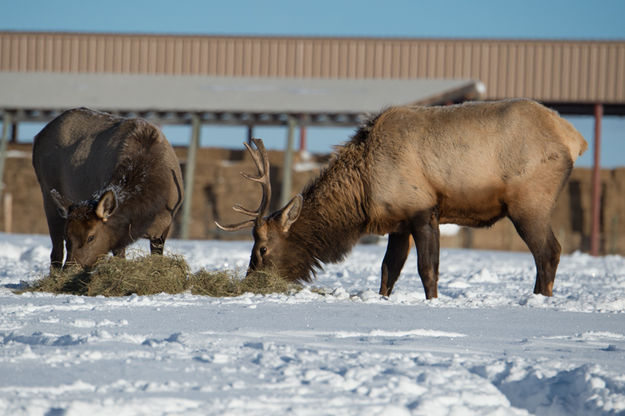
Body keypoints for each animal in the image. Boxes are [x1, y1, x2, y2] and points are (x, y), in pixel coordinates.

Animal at [32, 107, 183, 268]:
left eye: (91, 237)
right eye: (68, 237)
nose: (70, 268)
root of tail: (38, 136)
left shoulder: (164, 228)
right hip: (47, 193)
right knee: (55, 253)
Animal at [217, 98, 588, 298]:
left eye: (263, 249)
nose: (249, 284)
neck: (363, 195)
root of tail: (575, 139)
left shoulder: (423, 210)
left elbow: (428, 270)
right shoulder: (398, 223)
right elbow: (387, 271)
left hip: (529, 203)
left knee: (549, 252)